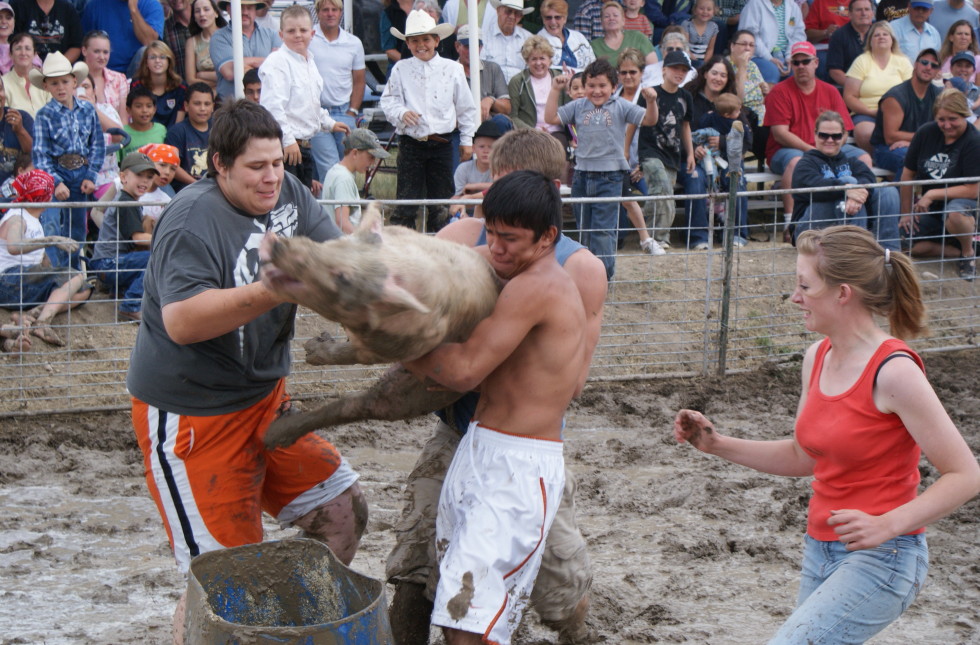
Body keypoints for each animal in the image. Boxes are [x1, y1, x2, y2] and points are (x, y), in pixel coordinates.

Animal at [258, 203, 498, 448]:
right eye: (337, 242)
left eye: (343, 277)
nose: (278, 244)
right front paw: (313, 346)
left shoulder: (397, 345)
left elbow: (353, 355)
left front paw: (310, 349)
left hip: (426, 393)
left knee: (366, 406)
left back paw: (271, 436)